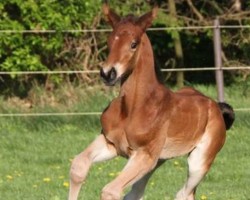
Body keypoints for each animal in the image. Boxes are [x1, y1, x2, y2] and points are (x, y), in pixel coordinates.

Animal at [69, 3, 234, 200]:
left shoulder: (145, 155)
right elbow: (78, 166)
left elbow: (110, 190)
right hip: (158, 161)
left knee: (183, 193)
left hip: (198, 162)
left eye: (133, 44)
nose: (108, 73)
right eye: (109, 42)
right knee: (136, 193)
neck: (133, 107)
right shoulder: (111, 143)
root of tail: (217, 107)